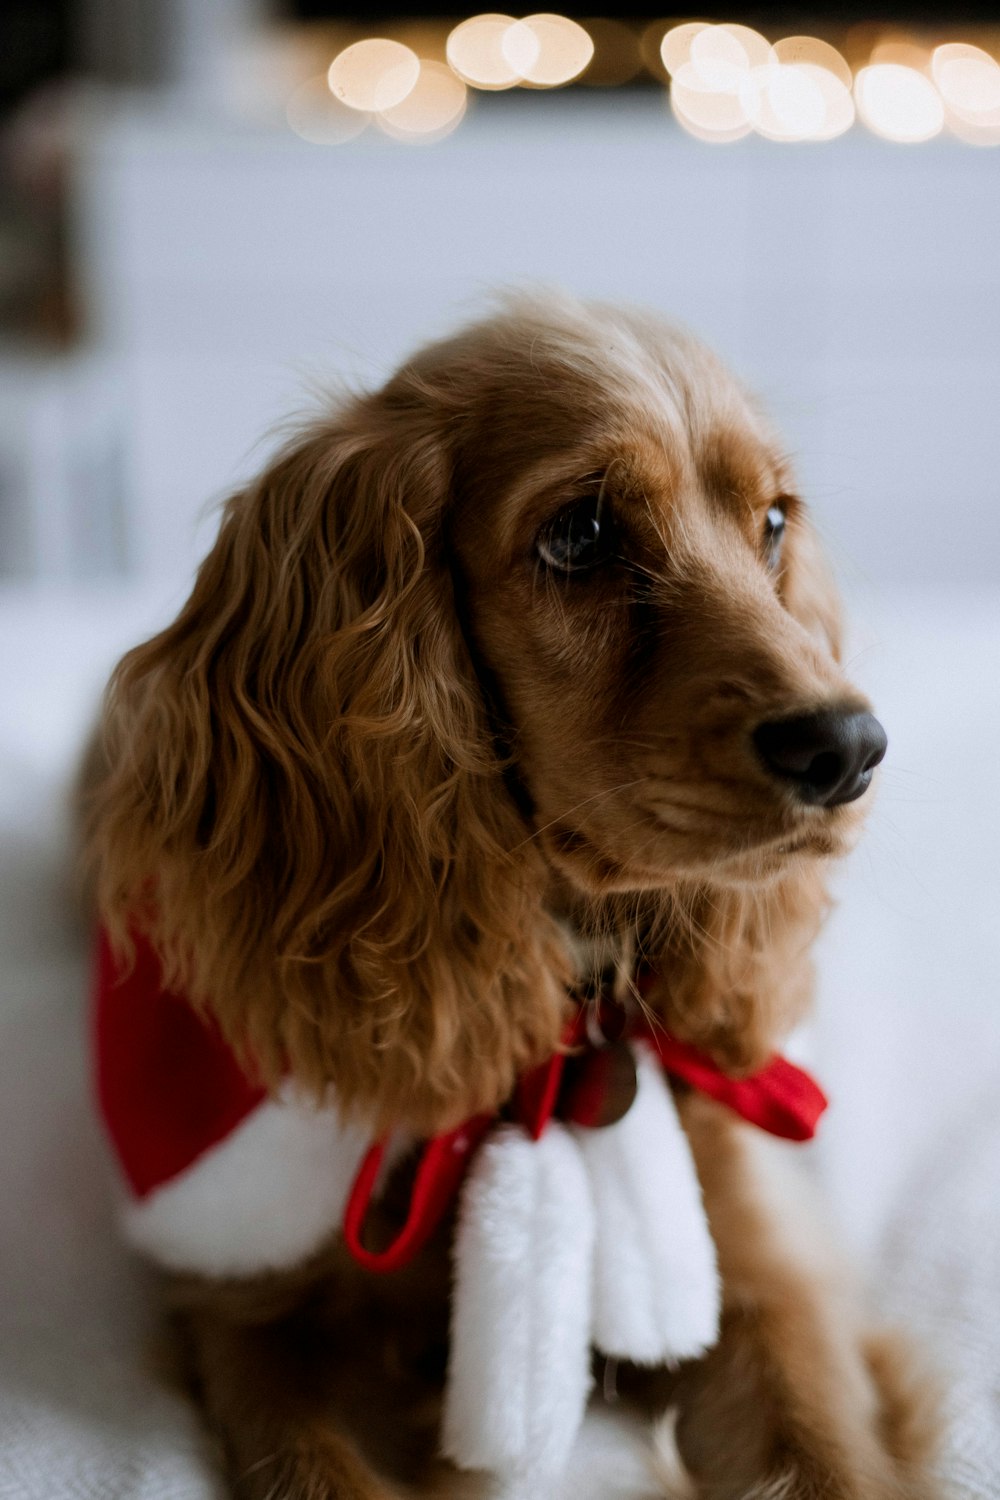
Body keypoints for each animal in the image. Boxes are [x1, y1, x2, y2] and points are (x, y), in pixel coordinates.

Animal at [82, 295, 941, 1500]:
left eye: (773, 523)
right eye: (580, 535)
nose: (849, 747)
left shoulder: (770, 1282)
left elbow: (826, 1458)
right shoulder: (250, 1315)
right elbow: (313, 1465)